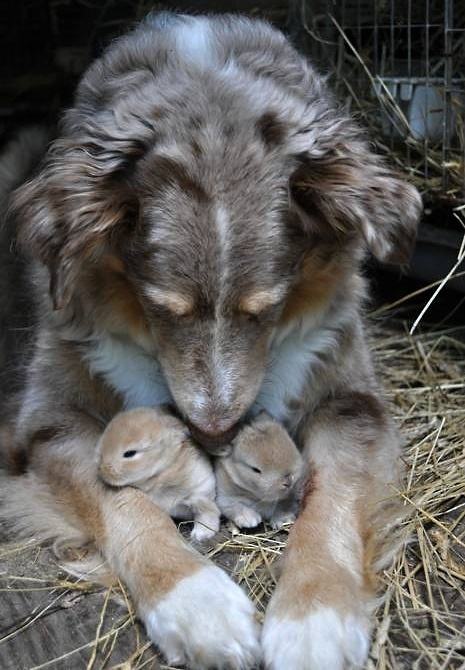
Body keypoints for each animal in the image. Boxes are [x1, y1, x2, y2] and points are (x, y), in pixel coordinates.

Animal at [96, 406, 219, 544]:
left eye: (130, 453)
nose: (101, 468)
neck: (161, 472)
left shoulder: (200, 494)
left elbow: (207, 514)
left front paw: (201, 534)